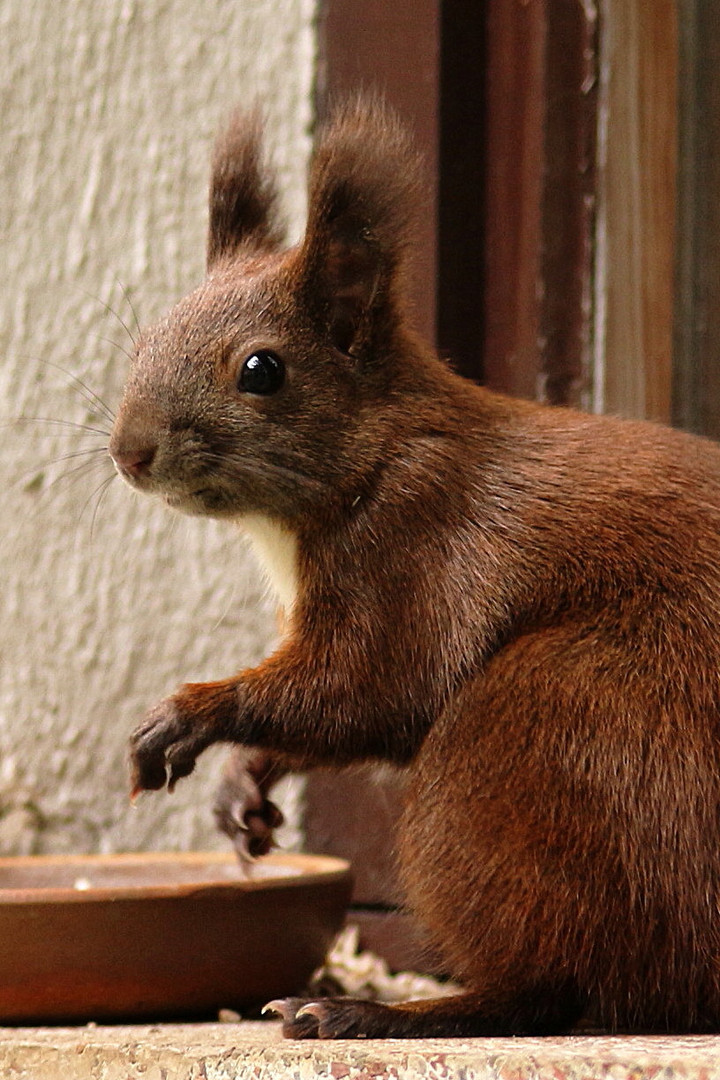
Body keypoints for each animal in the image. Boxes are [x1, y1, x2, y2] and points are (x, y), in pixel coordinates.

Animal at [108, 101, 720, 1036]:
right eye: (148, 336)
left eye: (262, 370)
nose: (128, 452)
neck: (377, 453)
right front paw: (241, 788)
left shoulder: (415, 550)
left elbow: (367, 689)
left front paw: (190, 714)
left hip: (554, 732)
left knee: (574, 989)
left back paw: (376, 1013)